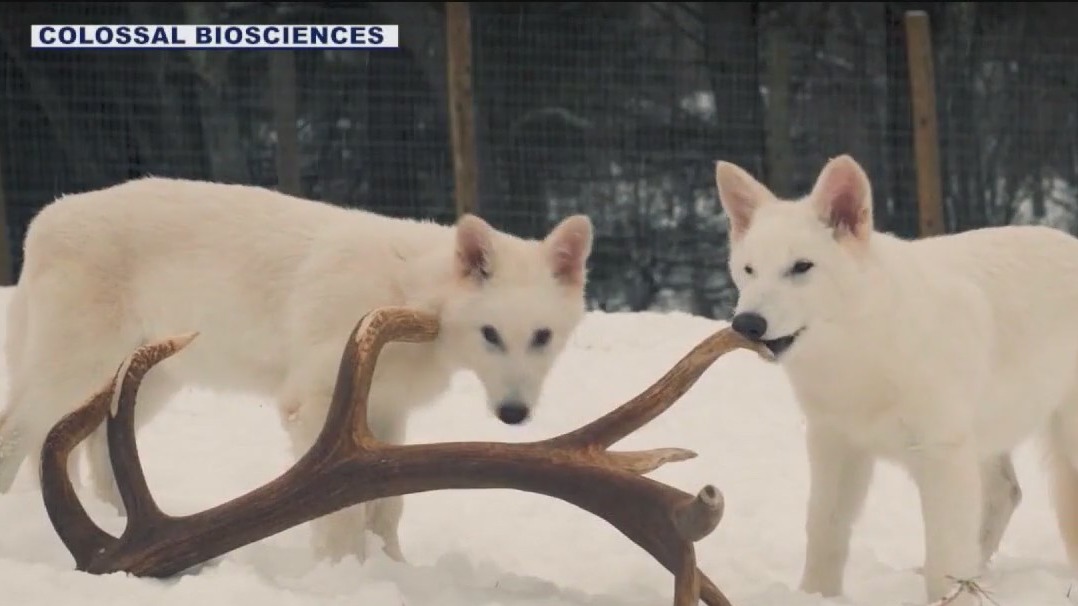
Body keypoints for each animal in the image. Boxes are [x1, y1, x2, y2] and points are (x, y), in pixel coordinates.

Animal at [0, 176, 594, 564]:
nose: (514, 413)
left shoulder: (387, 413)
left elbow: (388, 507)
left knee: (96, 446)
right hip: (71, 367)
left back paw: (113, 521)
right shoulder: (314, 407)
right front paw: (344, 575)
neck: (413, 295)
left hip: (150, 381)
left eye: (542, 337)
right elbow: (343, 514)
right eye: (490, 334)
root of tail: (45, 218)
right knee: (19, 435)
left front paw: (394, 571)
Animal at [715, 154, 1078, 604]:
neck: (861, 354)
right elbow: (824, 529)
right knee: (1006, 495)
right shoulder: (835, 446)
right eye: (749, 270)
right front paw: (815, 595)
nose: (746, 324)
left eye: (801, 267)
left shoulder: (941, 455)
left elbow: (943, 551)